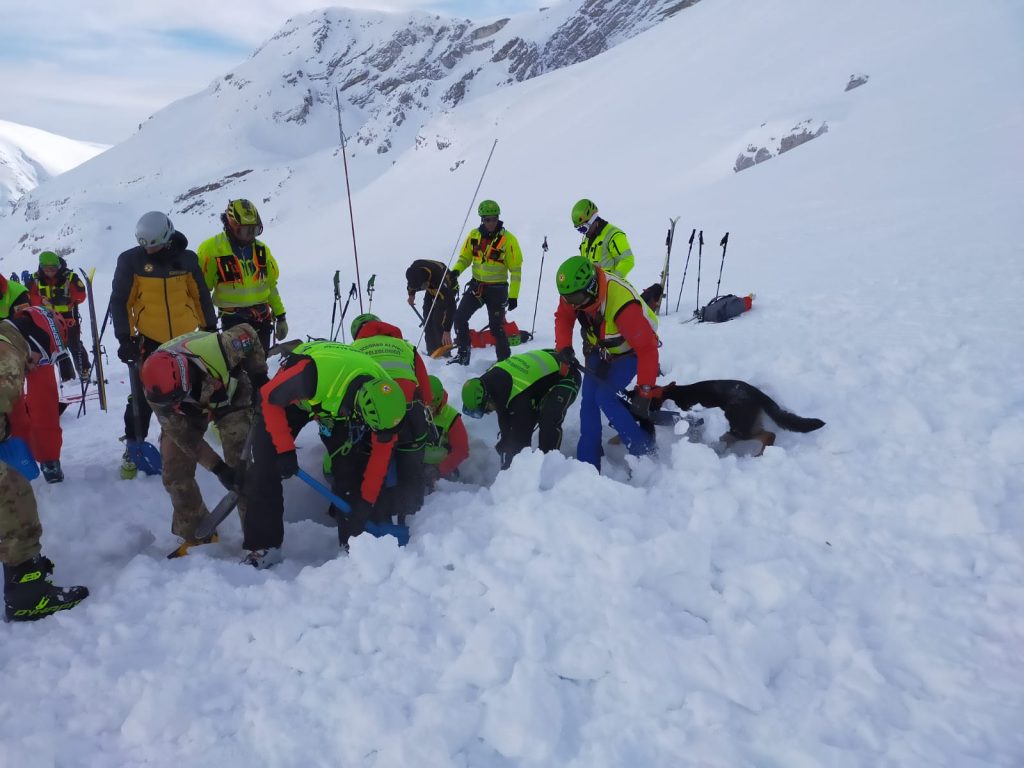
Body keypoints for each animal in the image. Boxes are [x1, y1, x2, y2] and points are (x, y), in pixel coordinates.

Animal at [647, 380, 823, 456]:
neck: (670, 394)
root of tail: (757, 393)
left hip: (738, 427)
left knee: (769, 435)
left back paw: (758, 455)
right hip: (738, 428)